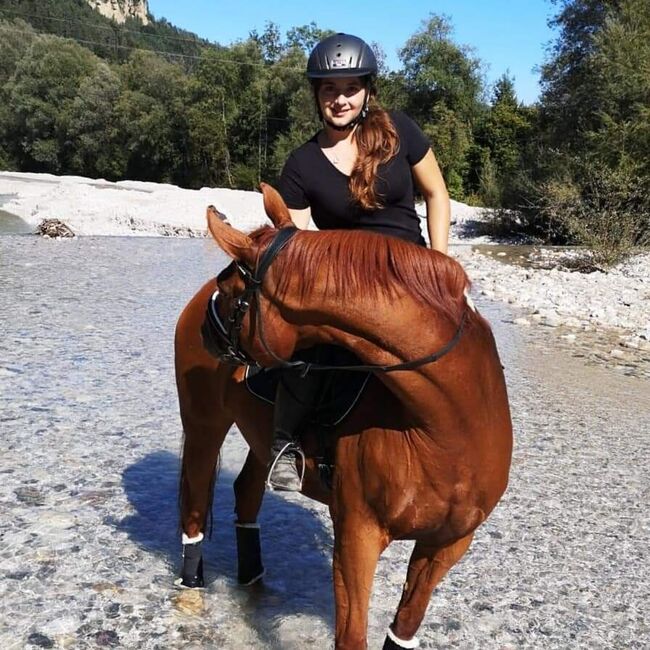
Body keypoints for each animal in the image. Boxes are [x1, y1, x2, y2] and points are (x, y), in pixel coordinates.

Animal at [173, 182, 512, 648]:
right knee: (194, 498)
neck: (446, 427)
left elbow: (403, 630)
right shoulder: (358, 536)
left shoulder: (446, 545)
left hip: (258, 441)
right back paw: (191, 586)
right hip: (204, 423)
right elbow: (351, 636)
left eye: (228, 291)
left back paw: (254, 577)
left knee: (246, 492)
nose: (208, 333)